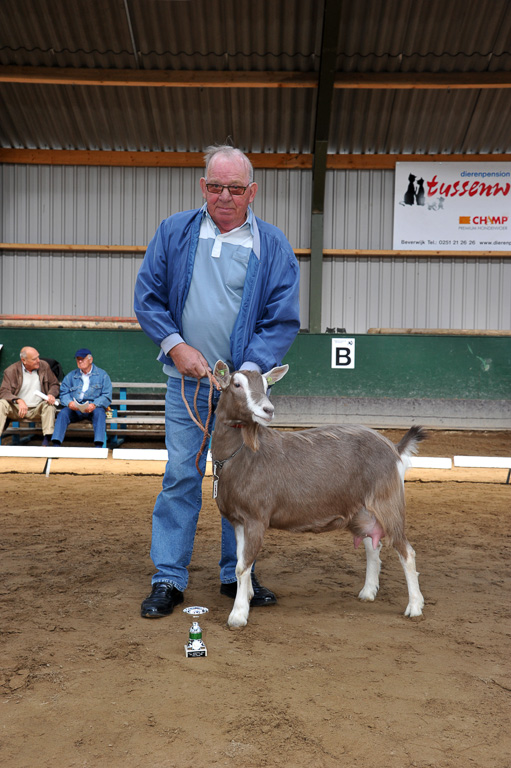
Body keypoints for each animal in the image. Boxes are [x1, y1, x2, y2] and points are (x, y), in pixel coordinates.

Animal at [212, 360, 428, 632]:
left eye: (265, 385)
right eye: (237, 384)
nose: (268, 409)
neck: (243, 454)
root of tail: (394, 448)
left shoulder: (255, 518)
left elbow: (242, 566)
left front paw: (238, 615)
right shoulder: (238, 520)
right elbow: (242, 562)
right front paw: (249, 596)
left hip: (388, 501)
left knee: (406, 551)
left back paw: (415, 606)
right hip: (362, 510)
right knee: (372, 546)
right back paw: (368, 592)